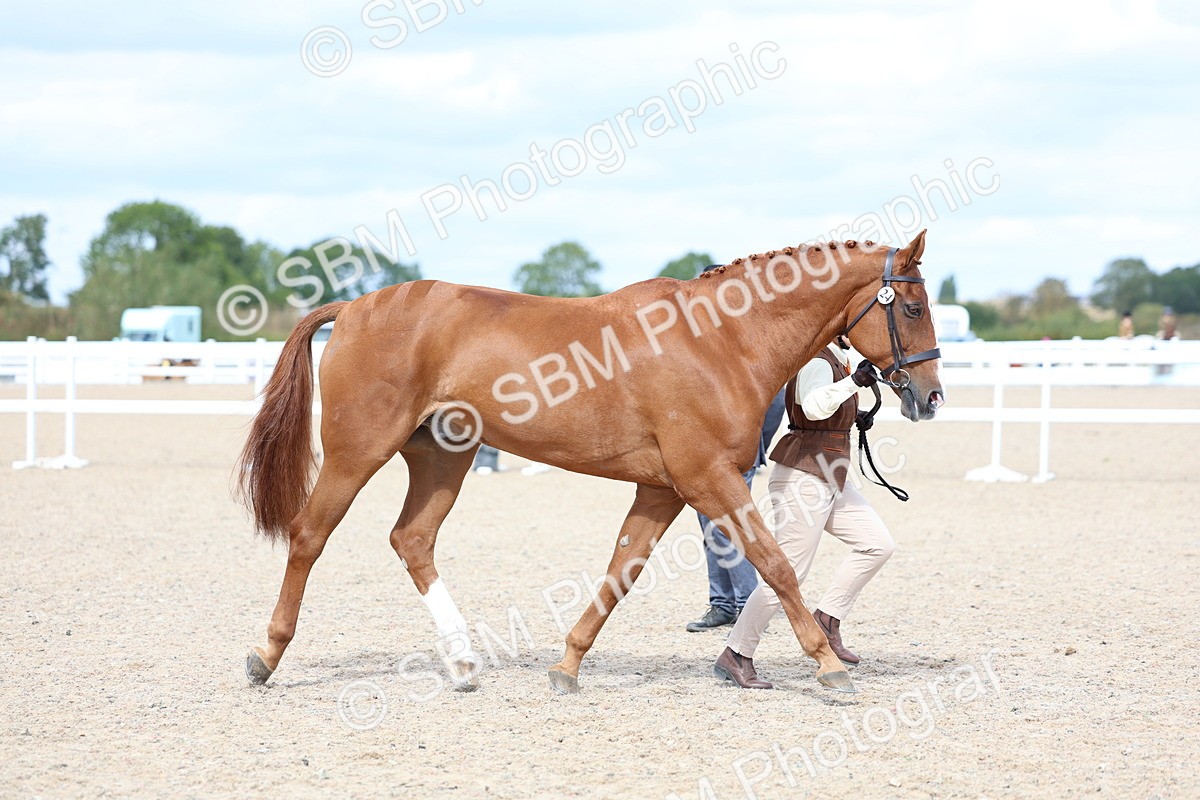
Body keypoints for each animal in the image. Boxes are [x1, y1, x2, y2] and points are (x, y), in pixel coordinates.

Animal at [237, 230, 944, 696]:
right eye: (912, 307)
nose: (930, 397)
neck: (720, 341)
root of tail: (354, 307)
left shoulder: (663, 489)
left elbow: (620, 572)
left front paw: (567, 666)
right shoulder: (708, 479)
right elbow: (776, 566)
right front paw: (828, 666)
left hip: (442, 459)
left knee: (411, 539)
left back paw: (463, 666)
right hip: (357, 452)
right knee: (309, 536)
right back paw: (266, 656)